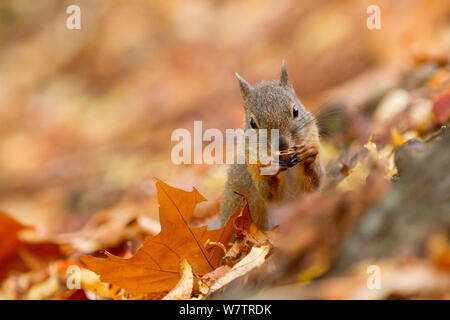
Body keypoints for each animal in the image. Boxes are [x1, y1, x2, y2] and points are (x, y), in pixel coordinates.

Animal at [219, 61, 322, 229]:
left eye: (296, 111)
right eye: (252, 123)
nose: (282, 145)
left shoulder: (312, 138)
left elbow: (315, 183)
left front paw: (308, 156)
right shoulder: (252, 162)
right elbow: (268, 193)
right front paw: (270, 168)